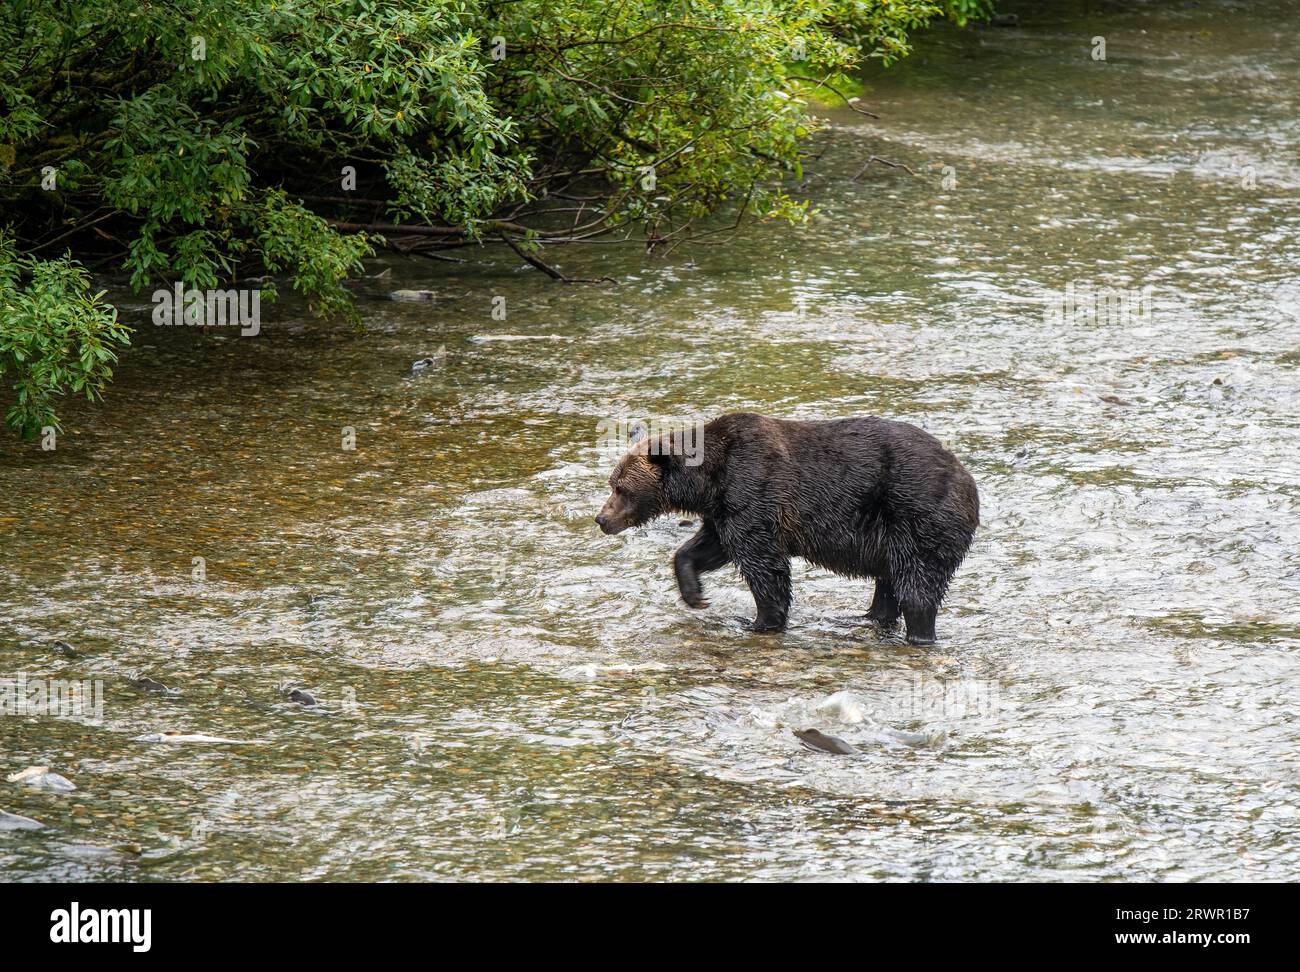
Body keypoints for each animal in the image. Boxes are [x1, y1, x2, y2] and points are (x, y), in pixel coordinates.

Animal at [595, 413, 977, 644]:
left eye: (621, 488)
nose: (601, 519)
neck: (710, 481)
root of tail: (968, 479)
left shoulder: (755, 492)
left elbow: (765, 566)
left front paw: (760, 620)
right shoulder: (725, 511)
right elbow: (708, 547)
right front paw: (695, 594)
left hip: (918, 517)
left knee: (917, 586)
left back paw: (918, 633)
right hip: (895, 538)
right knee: (889, 584)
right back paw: (864, 618)